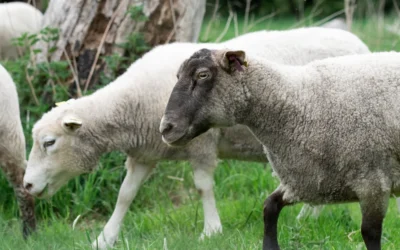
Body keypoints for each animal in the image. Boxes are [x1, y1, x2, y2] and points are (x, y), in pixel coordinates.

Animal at [23, 27, 370, 248]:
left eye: (49, 143)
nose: (26, 186)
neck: (130, 105)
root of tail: (360, 42)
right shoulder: (144, 153)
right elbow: (125, 194)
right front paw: (104, 239)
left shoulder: (201, 144)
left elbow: (203, 187)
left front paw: (211, 231)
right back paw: (306, 217)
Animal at [159, 49, 400, 250]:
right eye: (178, 75)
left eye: (202, 75)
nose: (165, 128)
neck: (299, 104)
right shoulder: (304, 180)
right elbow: (269, 207)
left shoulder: (373, 183)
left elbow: (369, 233)